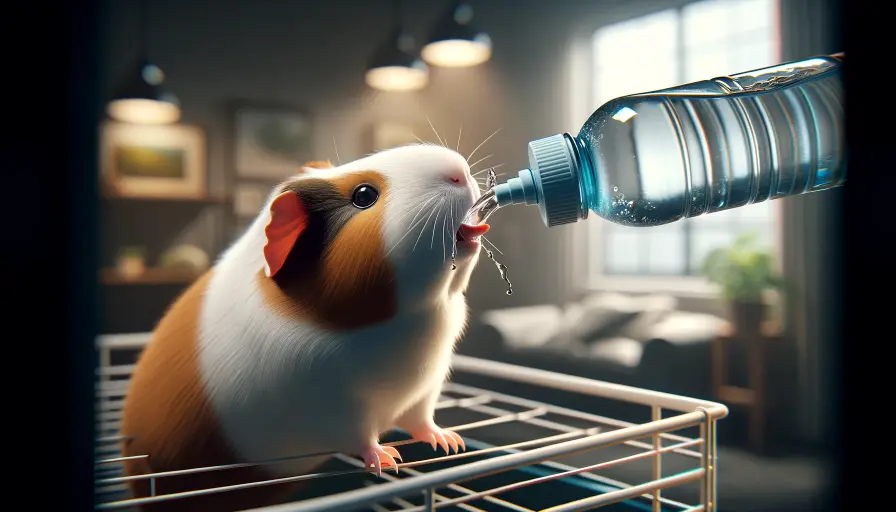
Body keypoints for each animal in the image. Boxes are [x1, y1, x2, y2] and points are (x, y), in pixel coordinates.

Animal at [119, 144, 491, 511]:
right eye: (364, 195)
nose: (459, 171)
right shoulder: (340, 407)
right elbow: (362, 437)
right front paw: (387, 459)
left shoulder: (425, 389)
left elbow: (422, 420)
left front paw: (449, 442)